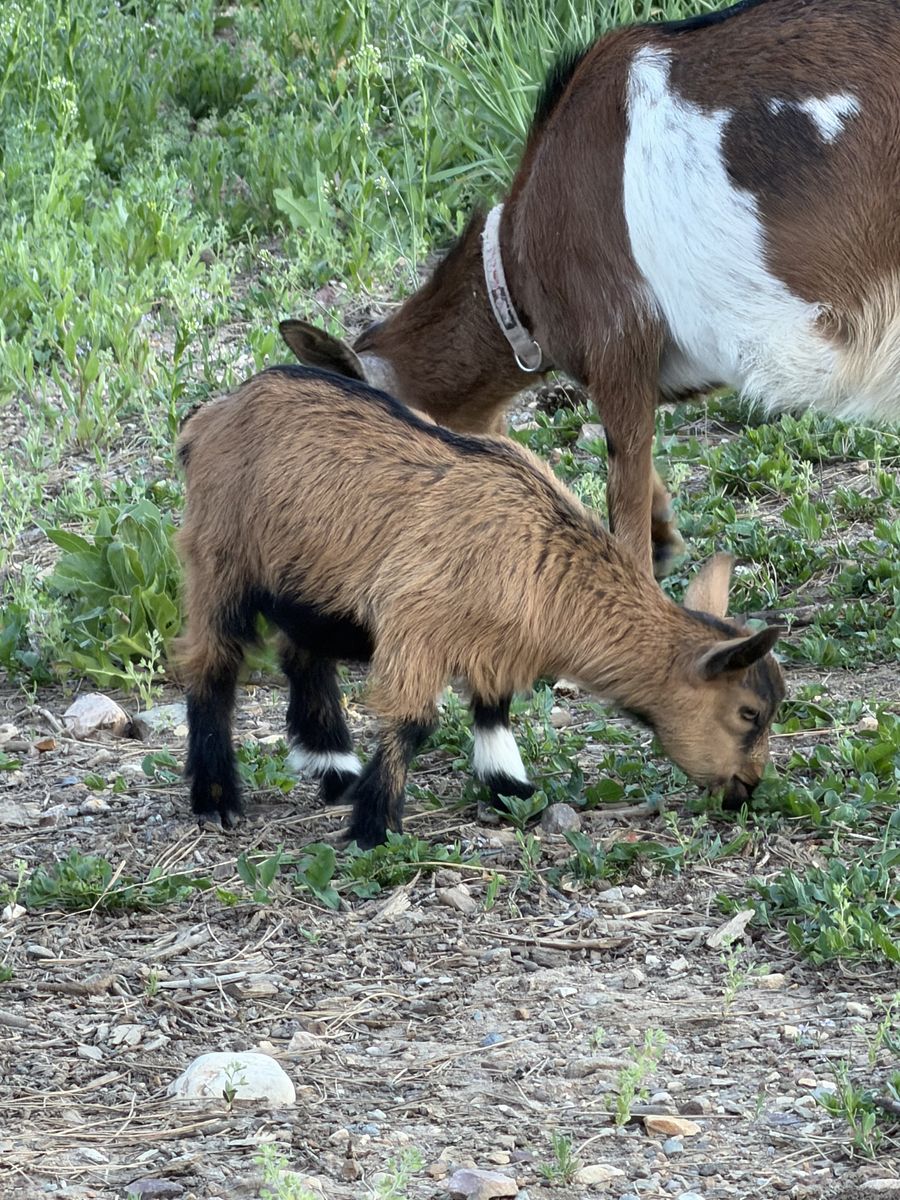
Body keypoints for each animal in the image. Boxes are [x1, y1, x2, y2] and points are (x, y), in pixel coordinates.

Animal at [175, 365, 785, 848]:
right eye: (748, 713)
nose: (748, 787)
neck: (539, 552)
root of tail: (213, 416)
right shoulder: (415, 622)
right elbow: (414, 721)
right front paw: (374, 827)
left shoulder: (495, 645)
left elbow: (493, 714)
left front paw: (512, 791)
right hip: (220, 558)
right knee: (211, 664)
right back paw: (217, 798)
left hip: (309, 586)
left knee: (300, 654)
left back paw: (335, 771)